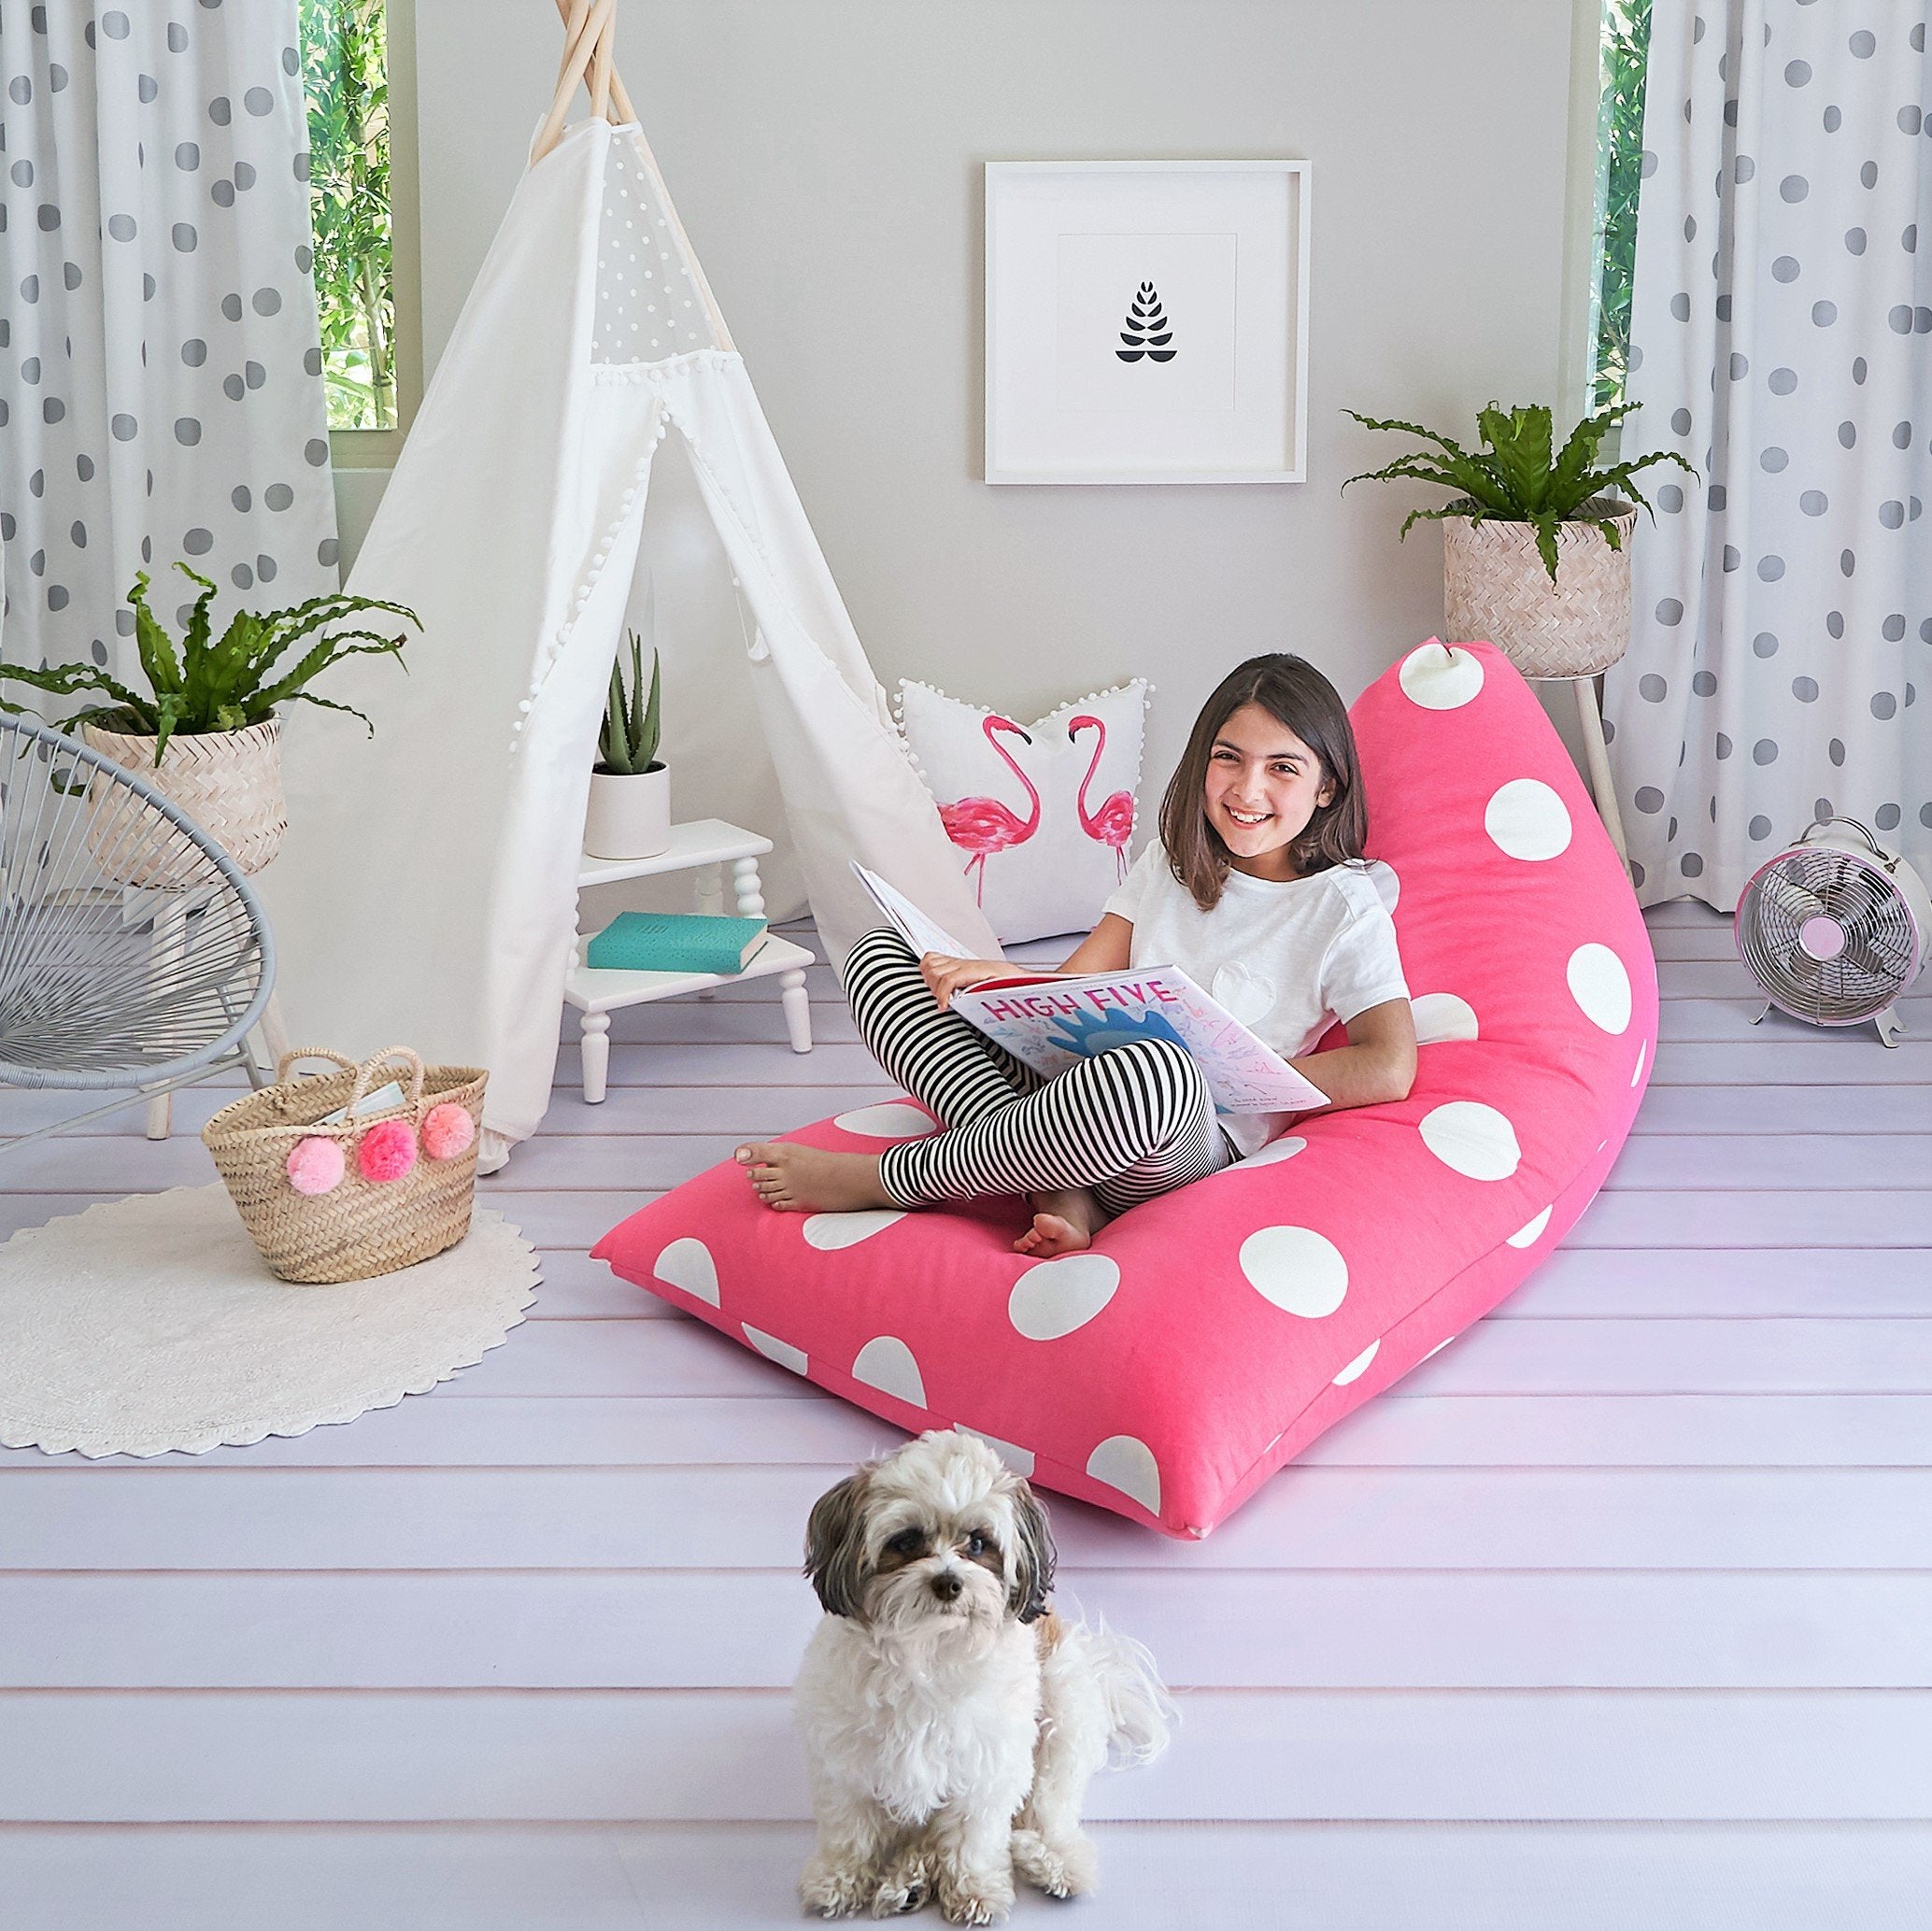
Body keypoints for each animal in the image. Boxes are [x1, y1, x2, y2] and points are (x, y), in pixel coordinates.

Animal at [791, 1428, 1167, 1923]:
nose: (949, 1581)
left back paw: (1051, 1861)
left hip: (1063, 1720)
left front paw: (976, 1888)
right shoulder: (846, 1766)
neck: (928, 1653)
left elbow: (973, 1836)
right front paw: (840, 1878)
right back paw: (908, 1881)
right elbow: (852, 1831)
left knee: (1045, 1809)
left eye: (977, 1544)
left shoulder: (988, 1768)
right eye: (906, 1542)